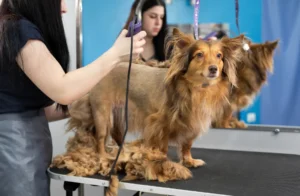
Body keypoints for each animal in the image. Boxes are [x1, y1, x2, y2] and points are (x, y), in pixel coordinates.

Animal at [67, 28, 246, 168]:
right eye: (199, 55)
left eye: (219, 56)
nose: (213, 69)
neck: (196, 89)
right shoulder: (159, 124)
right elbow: (163, 145)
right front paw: (161, 160)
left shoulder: (191, 124)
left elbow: (186, 144)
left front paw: (188, 160)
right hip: (103, 114)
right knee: (101, 138)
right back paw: (103, 156)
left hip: (119, 115)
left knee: (117, 136)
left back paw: (123, 152)